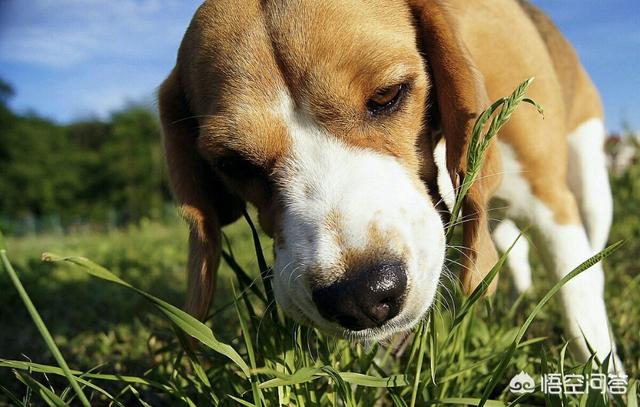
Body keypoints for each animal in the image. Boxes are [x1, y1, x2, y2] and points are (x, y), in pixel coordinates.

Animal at [159, 0, 620, 370]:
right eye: (233, 163)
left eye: (387, 95)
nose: (359, 296)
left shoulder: (550, 202)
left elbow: (579, 302)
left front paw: (605, 380)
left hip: (590, 184)